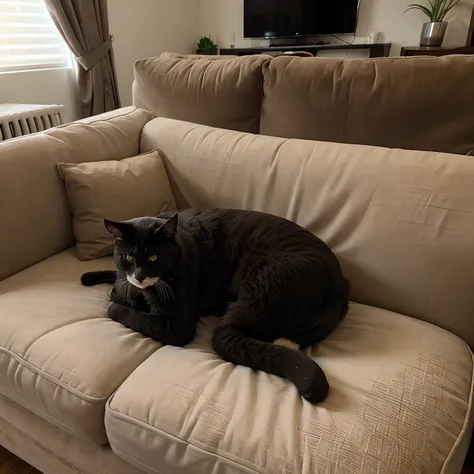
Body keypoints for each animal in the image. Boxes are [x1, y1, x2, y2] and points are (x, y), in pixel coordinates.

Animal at [81, 209, 348, 402]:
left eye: (154, 257)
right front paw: (93, 278)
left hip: (261, 282)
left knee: (226, 337)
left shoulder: (176, 327)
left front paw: (118, 301)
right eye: (127, 257)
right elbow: (117, 283)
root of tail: (340, 285)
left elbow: (118, 309)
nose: (140, 276)